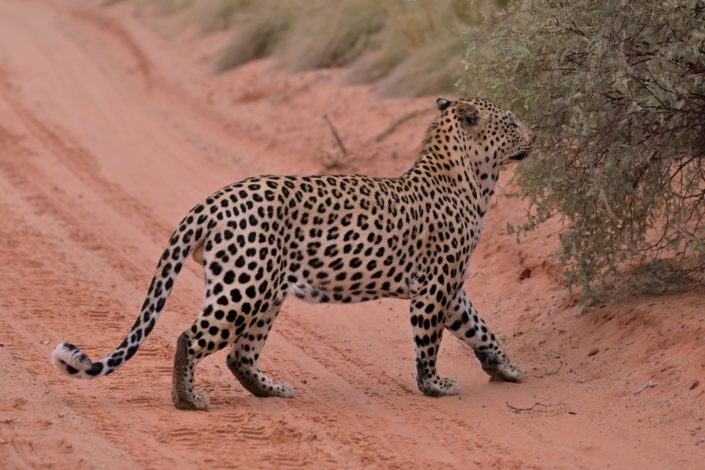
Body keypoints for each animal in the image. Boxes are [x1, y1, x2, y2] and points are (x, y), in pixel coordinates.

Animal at [52, 97, 534, 410]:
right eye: (511, 124)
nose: (535, 133)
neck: (474, 181)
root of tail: (212, 200)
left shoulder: (452, 289)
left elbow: (481, 329)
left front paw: (506, 368)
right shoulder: (435, 288)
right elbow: (429, 340)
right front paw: (433, 385)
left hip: (264, 290)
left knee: (238, 355)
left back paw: (272, 390)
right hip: (243, 289)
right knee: (192, 336)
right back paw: (187, 399)